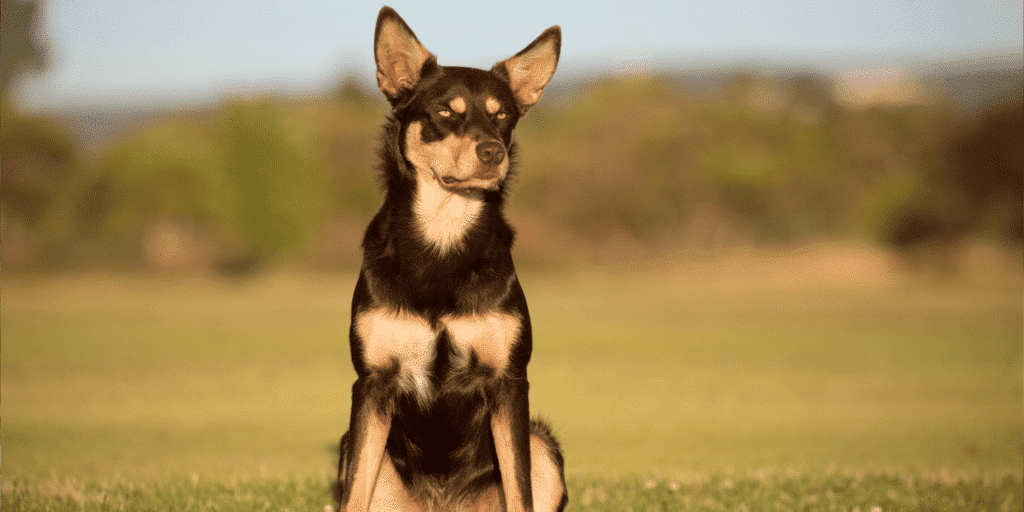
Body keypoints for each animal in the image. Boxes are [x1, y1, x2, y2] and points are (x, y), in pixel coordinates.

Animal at [331, 7, 565, 512]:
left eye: (503, 116)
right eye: (445, 112)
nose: (492, 152)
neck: (442, 240)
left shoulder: (508, 381)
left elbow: (519, 489)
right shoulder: (373, 383)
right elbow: (354, 494)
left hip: (543, 446)